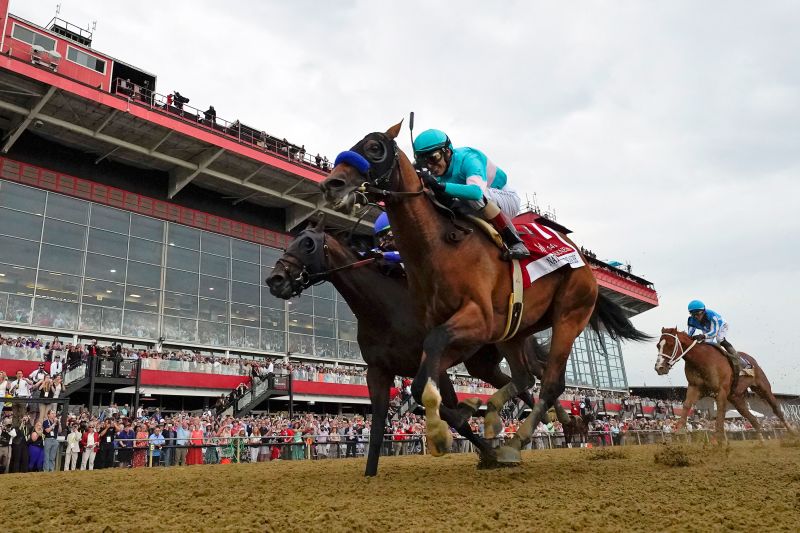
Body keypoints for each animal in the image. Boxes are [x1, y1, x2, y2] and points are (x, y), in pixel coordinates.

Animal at [268, 216, 544, 474]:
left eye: (308, 244)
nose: (275, 279)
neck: (387, 310)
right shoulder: (378, 371)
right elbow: (378, 425)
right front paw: (369, 474)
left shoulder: (437, 365)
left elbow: (450, 413)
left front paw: (488, 450)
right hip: (482, 365)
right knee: (521, 386)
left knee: (535, 377)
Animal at [318, 120, 648, 462]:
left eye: (374, 148)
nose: (331, 183)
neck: (439, 246)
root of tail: (582, 259)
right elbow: (427, 373)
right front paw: (461, 412)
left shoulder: (475, 319)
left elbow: (428, 366)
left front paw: (440, 429)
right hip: (513, 332)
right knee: (525, 377)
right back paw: (512, 420)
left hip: (569, 315)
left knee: (550, 382)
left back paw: (523, 437)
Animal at [656, 328, 792, 440]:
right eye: (658, 345)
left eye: (670, 344)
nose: (659, 367)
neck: (700, 360)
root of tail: (751, 359)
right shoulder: (695, 387)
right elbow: (687, 404)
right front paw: (678, 429)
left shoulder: (721, 391)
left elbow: (720, 413)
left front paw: (717, 440)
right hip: (736, 397)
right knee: (752, 418)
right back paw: (762, 443)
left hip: (762, 387)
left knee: (776, 410)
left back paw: (792, 433)